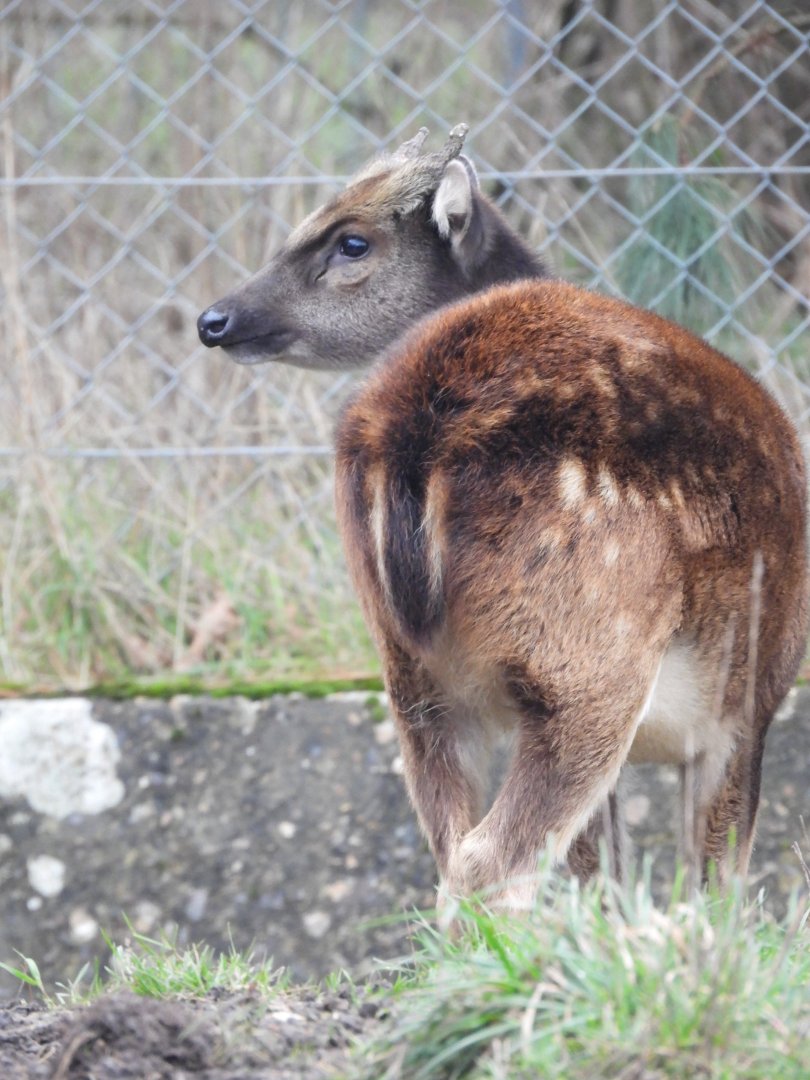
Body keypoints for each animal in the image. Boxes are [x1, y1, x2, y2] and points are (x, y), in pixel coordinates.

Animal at [198, 125, 808, 912]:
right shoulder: (750, 699)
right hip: (587, 658)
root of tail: (414, 434)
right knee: (491, 861)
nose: (214, 319)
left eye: (351, 241)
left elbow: (605, 876)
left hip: (410, 676)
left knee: (452, 848)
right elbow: (717, 884)